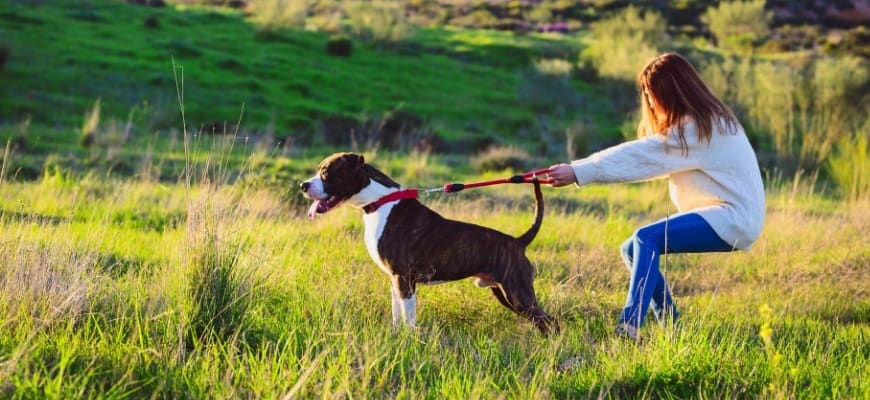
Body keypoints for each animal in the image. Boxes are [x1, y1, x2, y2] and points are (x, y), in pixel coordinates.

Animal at [300, 152, 560, 334]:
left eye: (327, 172)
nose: (303, 185)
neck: (380, 201)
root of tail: (518, 242)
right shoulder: (395, 280)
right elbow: (397, 316)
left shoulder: (404, 278)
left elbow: (409, 318)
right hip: (505, 293)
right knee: (543, 323)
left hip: (518, 293)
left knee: (551, 322)